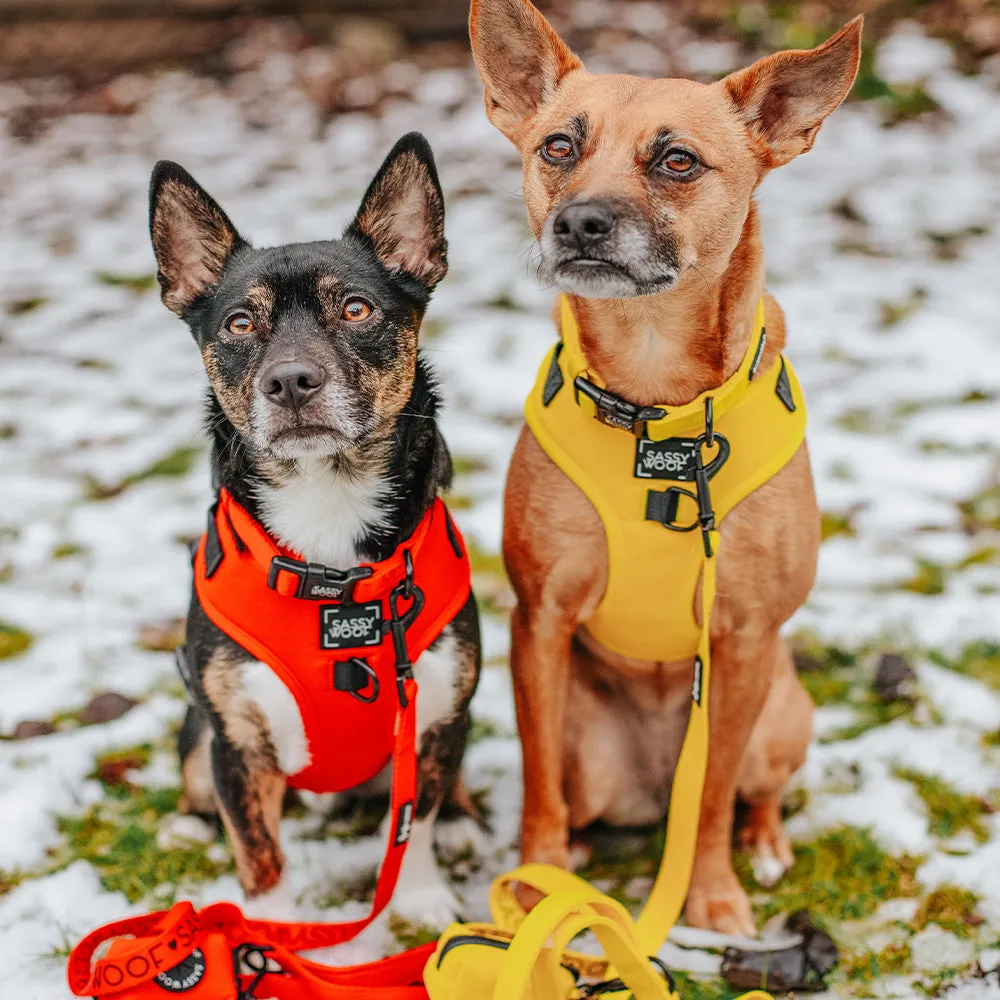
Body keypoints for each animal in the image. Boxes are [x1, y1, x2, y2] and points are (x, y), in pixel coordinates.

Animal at [149, 135, 484, 928]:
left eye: (357, 309)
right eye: (239, 324)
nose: (292, 381)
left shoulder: (434, 713)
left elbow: (415, 819)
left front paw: (422, 899)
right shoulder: (237, 742)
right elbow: (259, 852)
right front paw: (269, 932)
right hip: (198, 719)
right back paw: (187, 824)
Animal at [472, 0, 864, 936]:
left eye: (677, 159)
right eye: (558, 146)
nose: (580, 222)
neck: (657, 404)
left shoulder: (746, 639)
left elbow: (712, 796)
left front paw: (710, 892)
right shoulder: (539, 622)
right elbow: (538, 787)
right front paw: (535, 892)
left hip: (783, 714)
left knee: (749, 790)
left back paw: (765, 845)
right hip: (590, 743)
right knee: (577, 794)